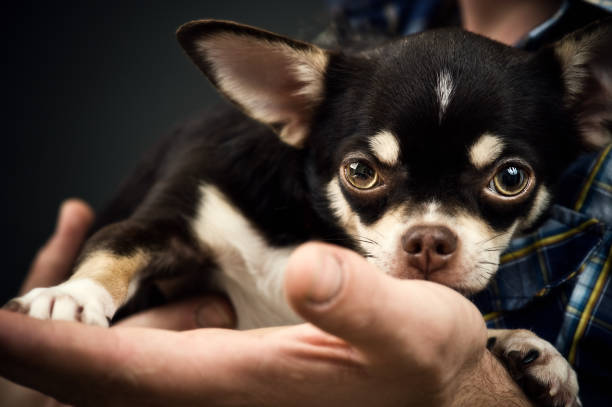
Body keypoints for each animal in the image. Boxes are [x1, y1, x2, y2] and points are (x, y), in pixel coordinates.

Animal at [5, 17, 612, 406]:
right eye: (360, 171)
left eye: (510, 178)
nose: (428, 240)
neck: (309, 230)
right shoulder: (170, 222)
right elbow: (115, 248)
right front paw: (71, 296)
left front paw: (525, 347)